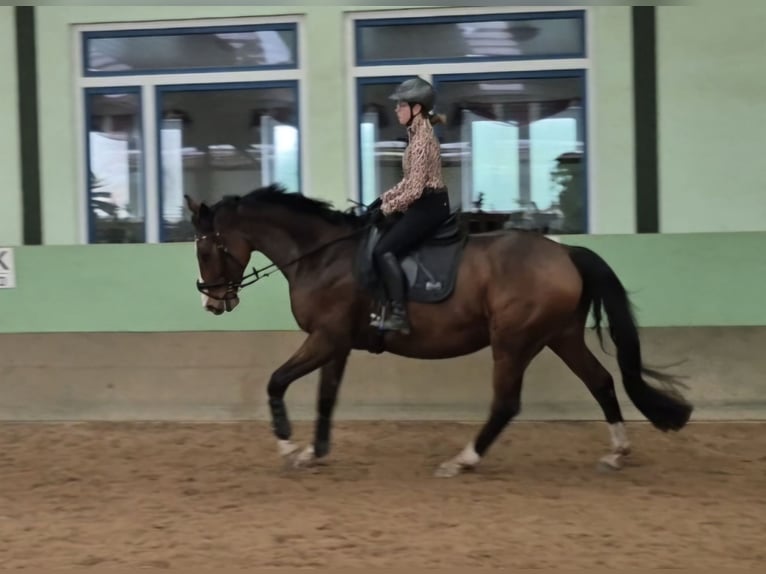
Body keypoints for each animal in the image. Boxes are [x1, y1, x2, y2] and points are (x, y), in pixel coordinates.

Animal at [183, 183, 693, 478]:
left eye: (206, 249)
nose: (212, 301)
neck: (321, 255)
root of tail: (566, 253)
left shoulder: (325, 338)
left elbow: (276, 382)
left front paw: (289, 446)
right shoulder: (338, 344)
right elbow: (326, 398)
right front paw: (314, 452)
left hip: (514, 341)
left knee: (507, 403)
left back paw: (463, 459)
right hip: (560, 336)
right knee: (601, 382)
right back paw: (617, 453)